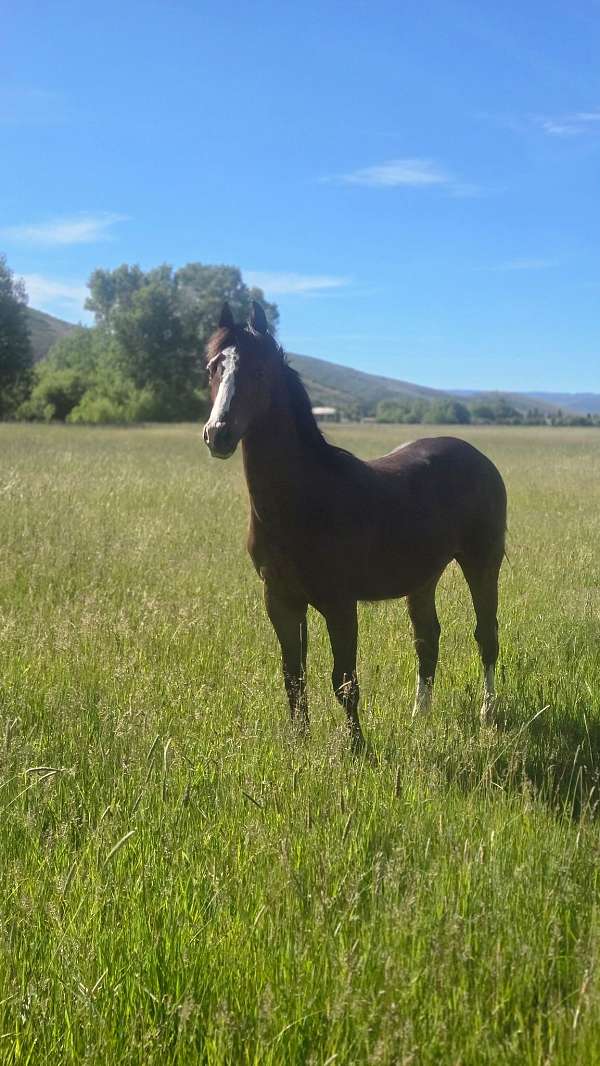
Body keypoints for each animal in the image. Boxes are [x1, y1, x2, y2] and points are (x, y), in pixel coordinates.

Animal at [203, 301, 507, 751]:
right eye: (213, 367)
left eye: (259, 371)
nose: (218, 434)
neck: (302, 501)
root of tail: (479, 457)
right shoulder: (280, 600)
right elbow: (294, 676)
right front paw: (300, 742)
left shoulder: (339, 603)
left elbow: (344, 681)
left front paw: (357, 747)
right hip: (423, 577)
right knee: (427, 638)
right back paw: (420, 716)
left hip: (481, 563)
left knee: (486, 635)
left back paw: (488, 713)